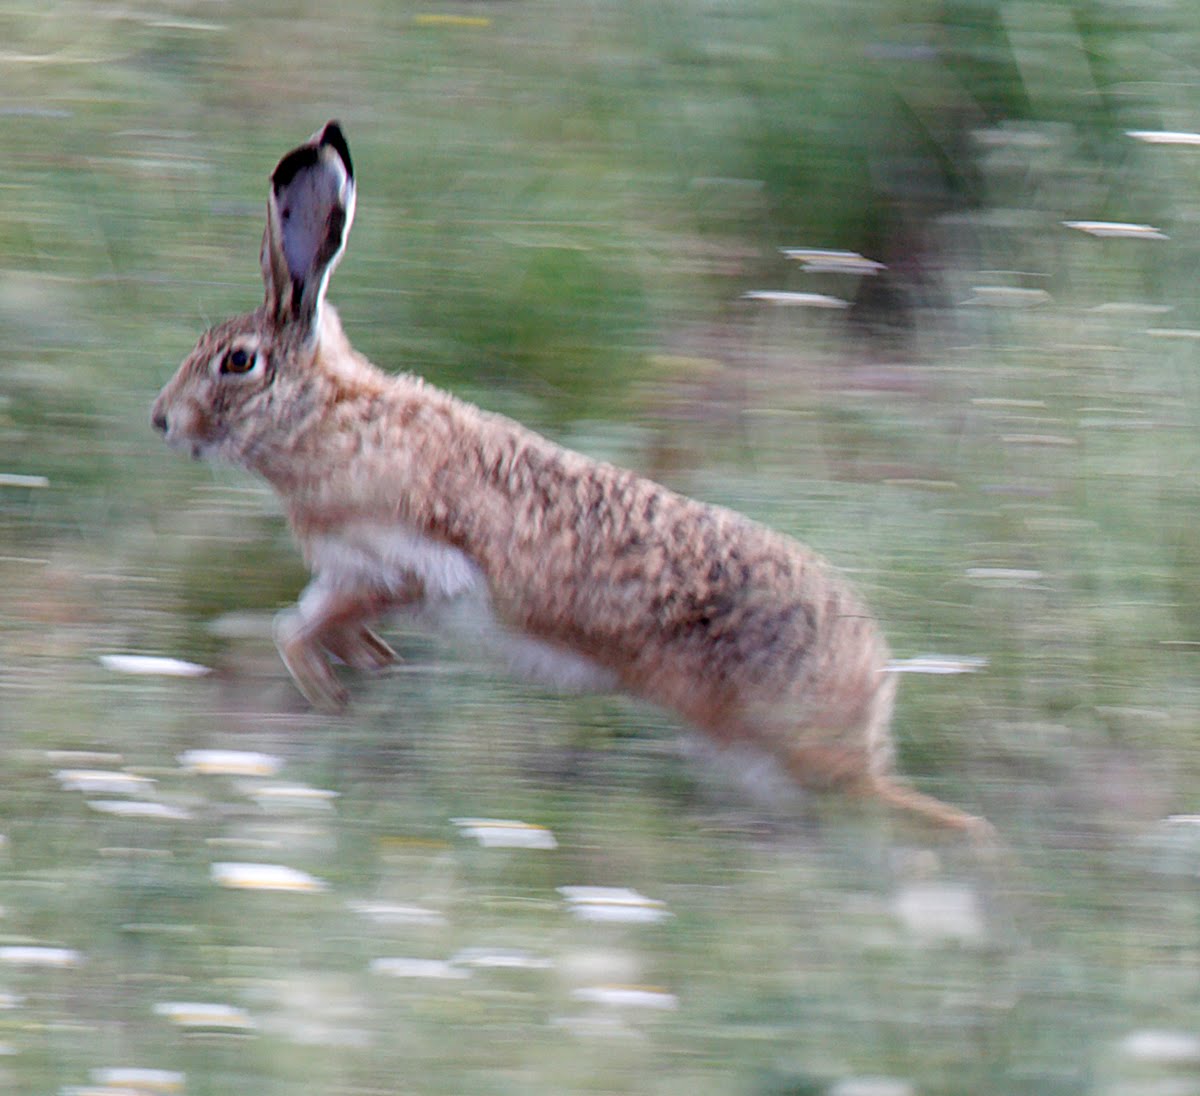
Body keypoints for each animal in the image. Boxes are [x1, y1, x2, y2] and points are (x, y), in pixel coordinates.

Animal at [151, 121, 989, 837]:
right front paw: (368, 668)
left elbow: (294, 631)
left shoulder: (396, 566)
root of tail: (872, 686)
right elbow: (315, 625)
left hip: (781, 748)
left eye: (237, 362)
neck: (325, 417)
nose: (162, 421)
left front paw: (331, 692)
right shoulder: (351, 577)